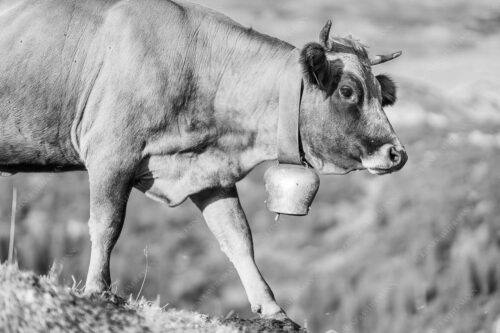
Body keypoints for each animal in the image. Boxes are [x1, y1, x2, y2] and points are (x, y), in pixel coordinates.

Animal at [0, 0, 406, 318]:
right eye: (347, 91)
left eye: (381, 95)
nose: (397, 153)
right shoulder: (111, 154)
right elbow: (106, 225)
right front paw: (98, 290)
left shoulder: (211, 175)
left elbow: (238, 238)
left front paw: (273, 310)